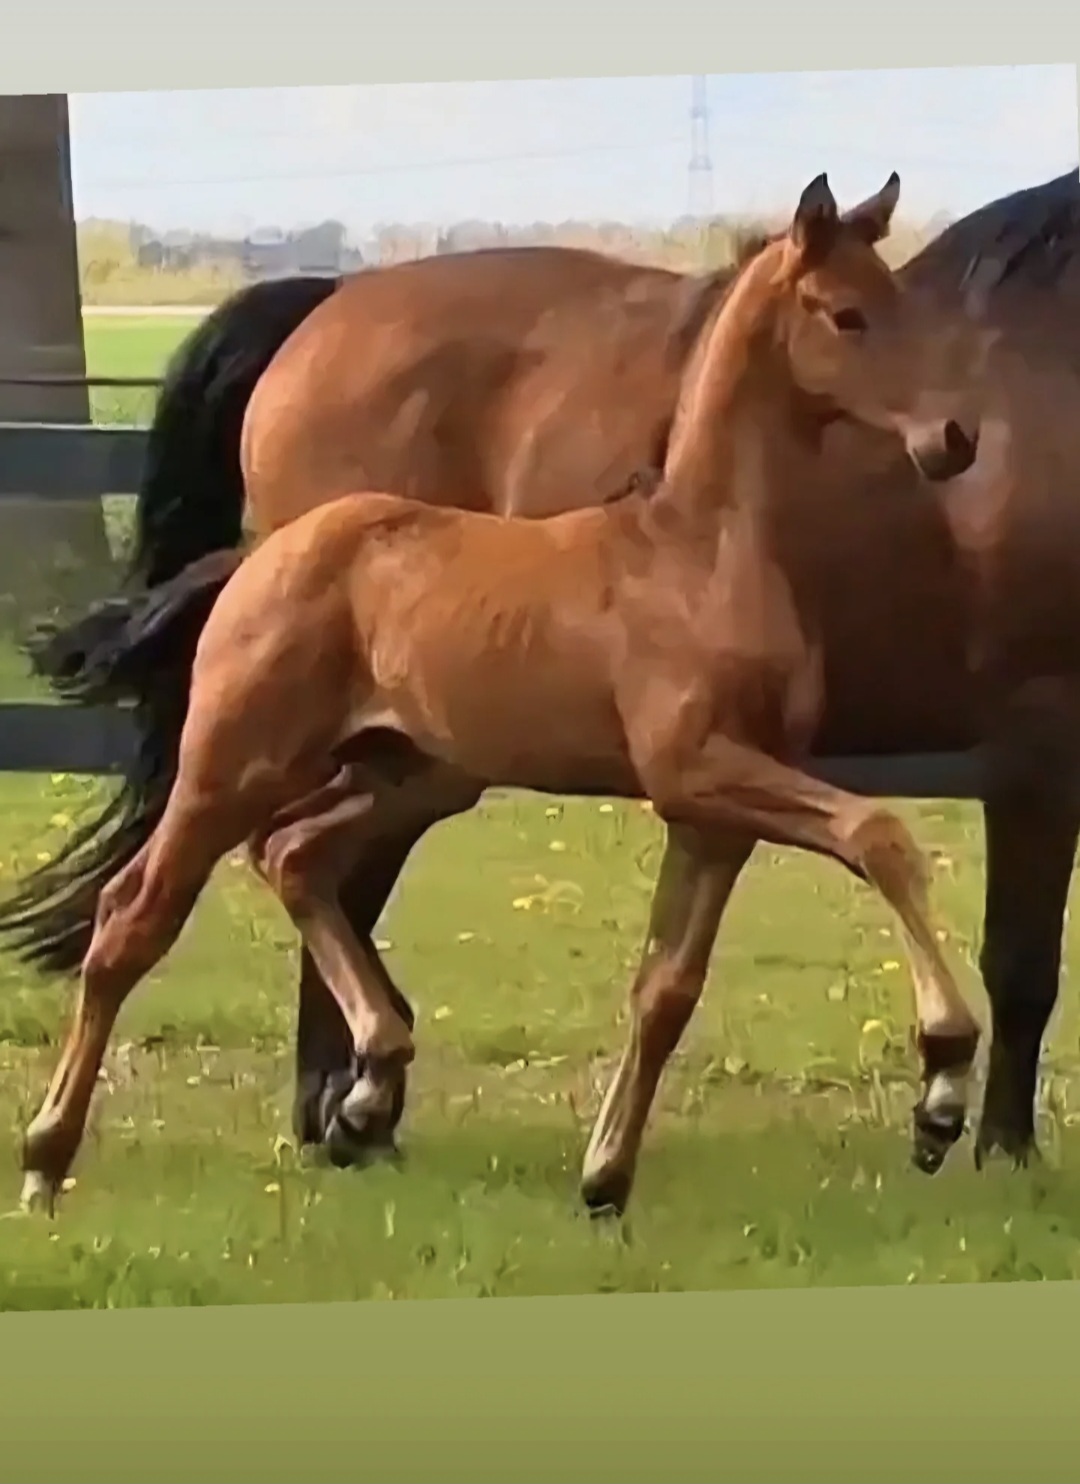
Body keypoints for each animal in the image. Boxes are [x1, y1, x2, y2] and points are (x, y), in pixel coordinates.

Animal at [3, 167, 1079, 1178]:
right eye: (845, 315)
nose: (952, 439)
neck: (697, 542)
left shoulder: (720, 796)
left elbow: (672, 981)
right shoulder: (1014, 733)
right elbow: (988, 930)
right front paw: (982, 1130)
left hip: (418, 764)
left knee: (301, 858)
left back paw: (360, 1100)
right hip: (255, 758)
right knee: (180, 899)